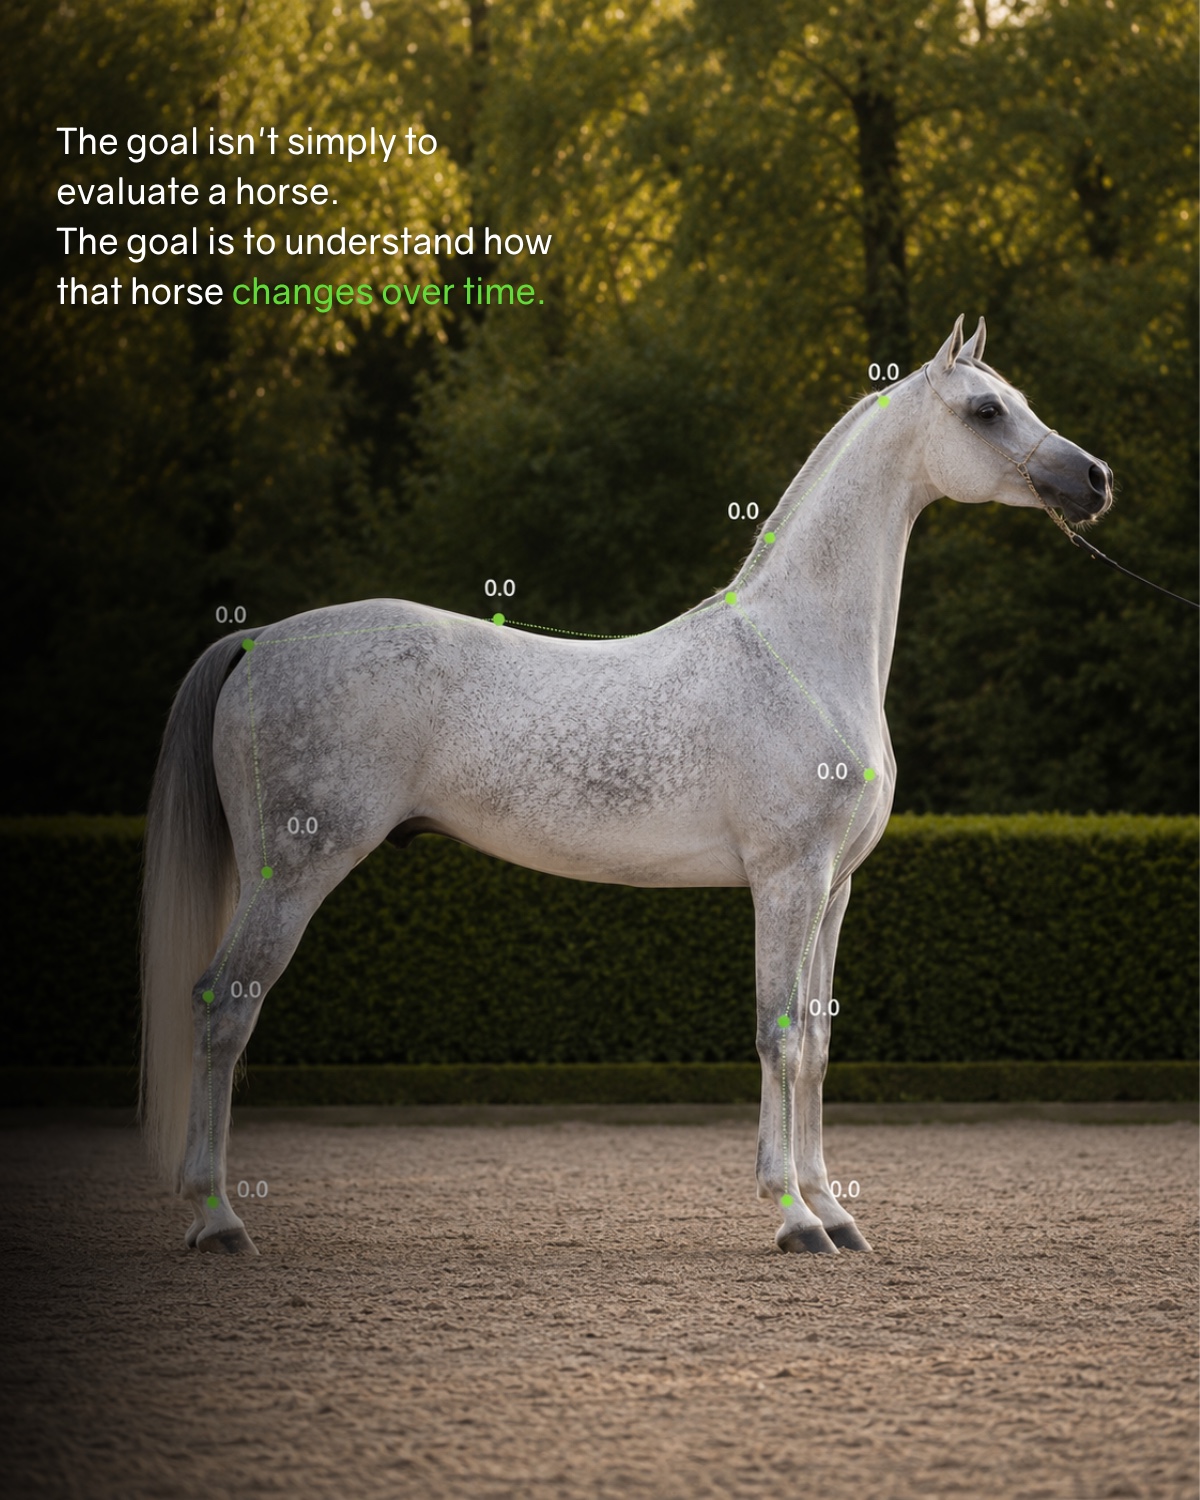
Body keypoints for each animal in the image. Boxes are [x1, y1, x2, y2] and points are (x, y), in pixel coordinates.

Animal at [141, 315, 1112, 1255]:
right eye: (986, 410)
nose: (1096, 481)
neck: (799, 654)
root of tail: (256, 638)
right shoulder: (785, 879)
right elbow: (777, 1035)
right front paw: (792, 1217)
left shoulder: (833, 889)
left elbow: (817, 1042)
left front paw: (834, 1210)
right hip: (295, 872)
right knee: (223, 1010)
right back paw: (218, 1221)